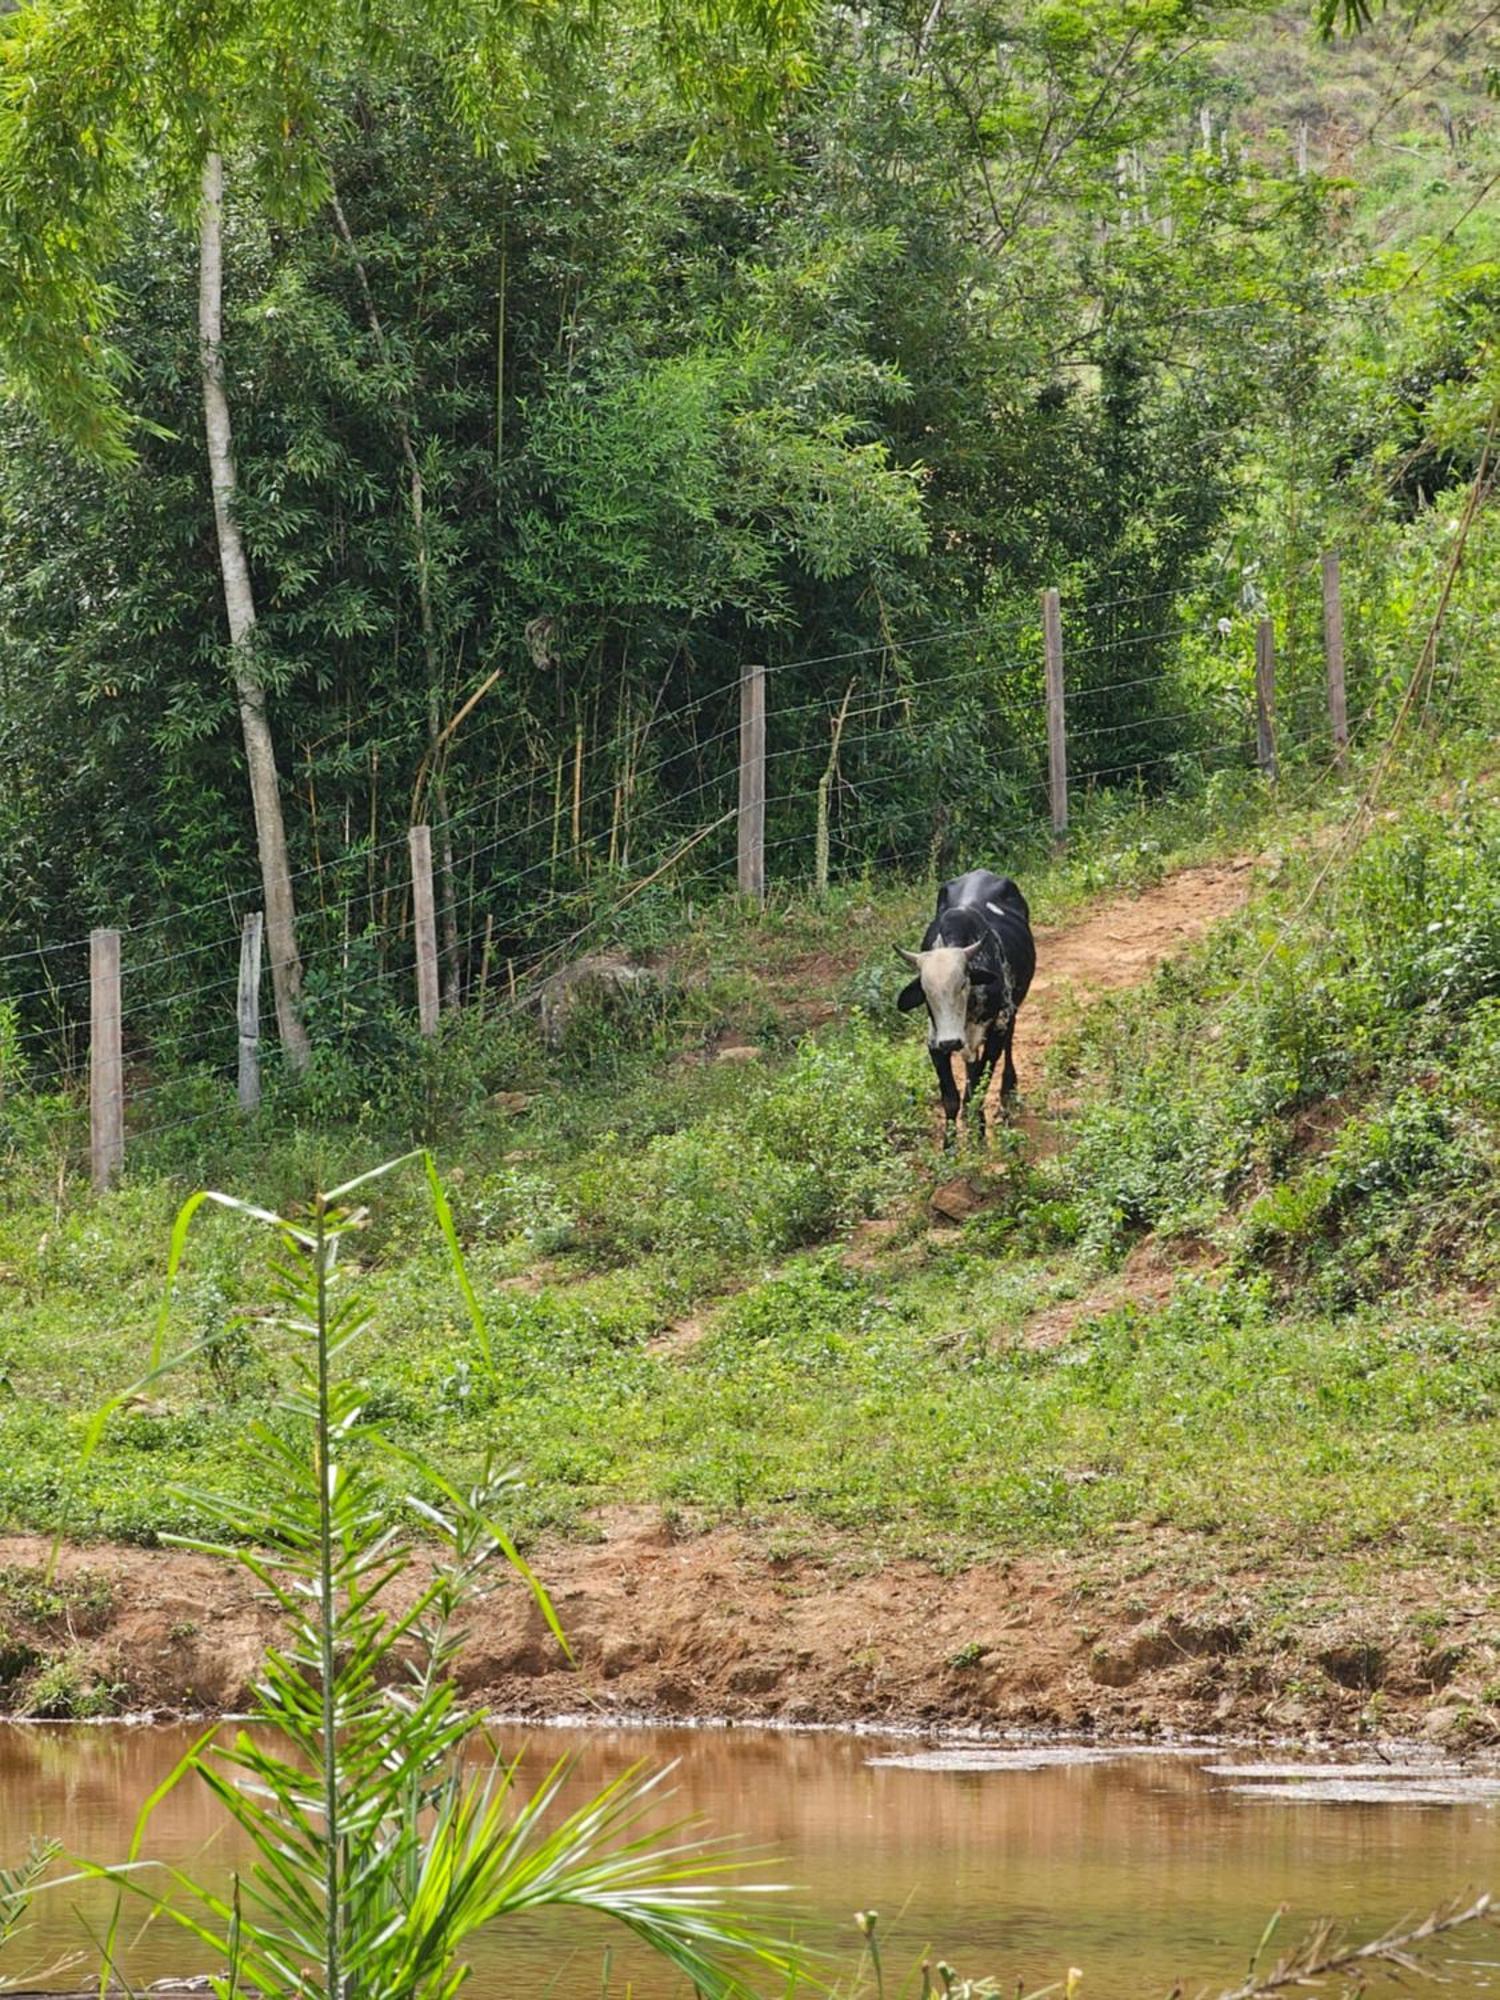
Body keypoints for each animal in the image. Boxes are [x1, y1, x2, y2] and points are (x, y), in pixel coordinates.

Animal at [900, 872, 1040, 1144]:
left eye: (964, 983)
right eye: (925, 991)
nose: (951, 1042)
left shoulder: (997, 1027)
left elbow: (978, 1088)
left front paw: (979, 1135)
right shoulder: (934, 1041)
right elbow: (951, 1098)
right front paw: (949, 1146)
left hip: (1011, 1009)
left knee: (1007, 1044)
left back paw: (1008, 1091)